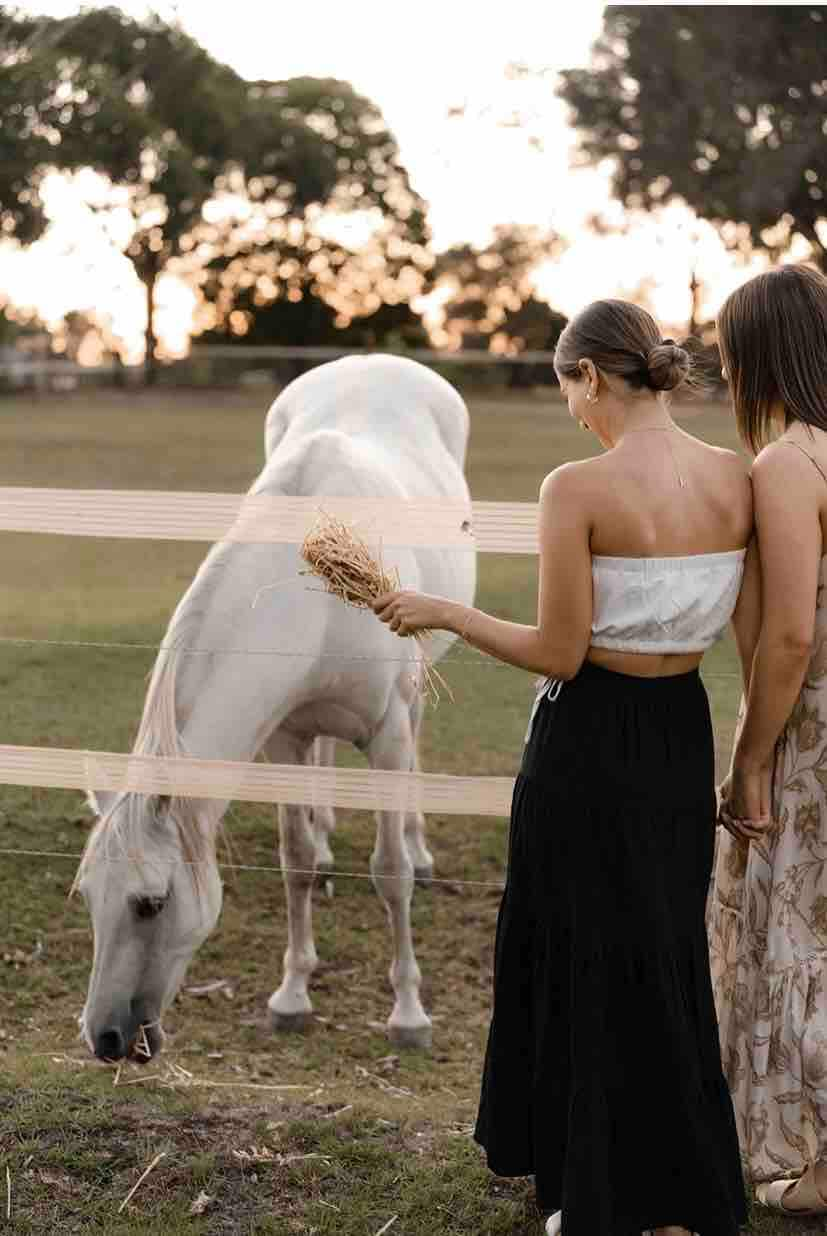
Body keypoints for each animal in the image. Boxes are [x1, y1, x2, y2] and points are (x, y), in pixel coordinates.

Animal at [77, 355, 477, 1062]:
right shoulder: (286, 736)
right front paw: (292, 995)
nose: (104, 1037)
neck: (316, 602)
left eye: (150, 903)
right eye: (88, 896)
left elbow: (391, 873)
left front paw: (407, 1013)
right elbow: (293, 863)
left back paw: (419, 844)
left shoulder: (388, 735)